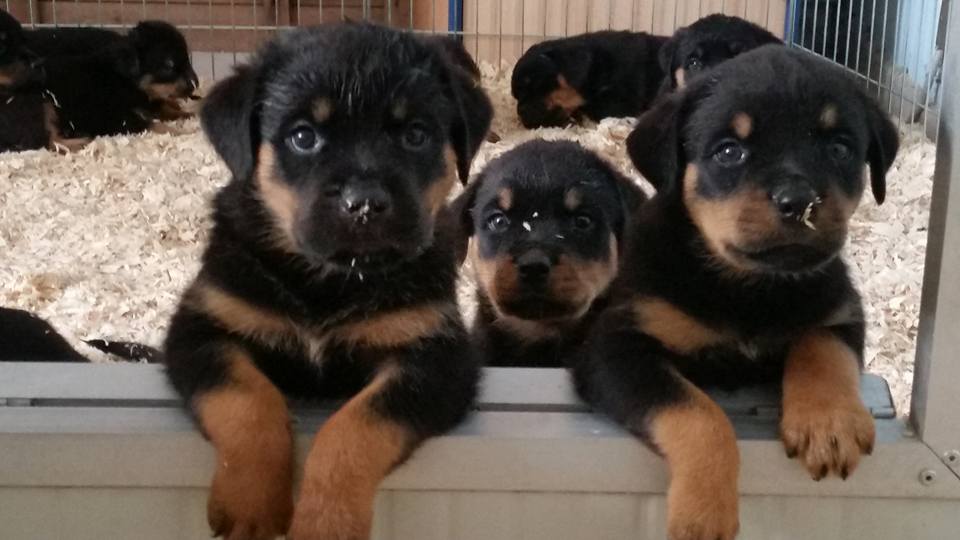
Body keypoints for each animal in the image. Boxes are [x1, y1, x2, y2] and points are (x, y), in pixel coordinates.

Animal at [568, 46, 900, 540]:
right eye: (729, 151)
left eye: (840, 148)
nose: (799, 201)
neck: (749, 287)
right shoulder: (615, 348)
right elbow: (697, 413)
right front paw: (704, 513)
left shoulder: (841, 308)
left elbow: (822, 347)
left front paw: (829, 423)